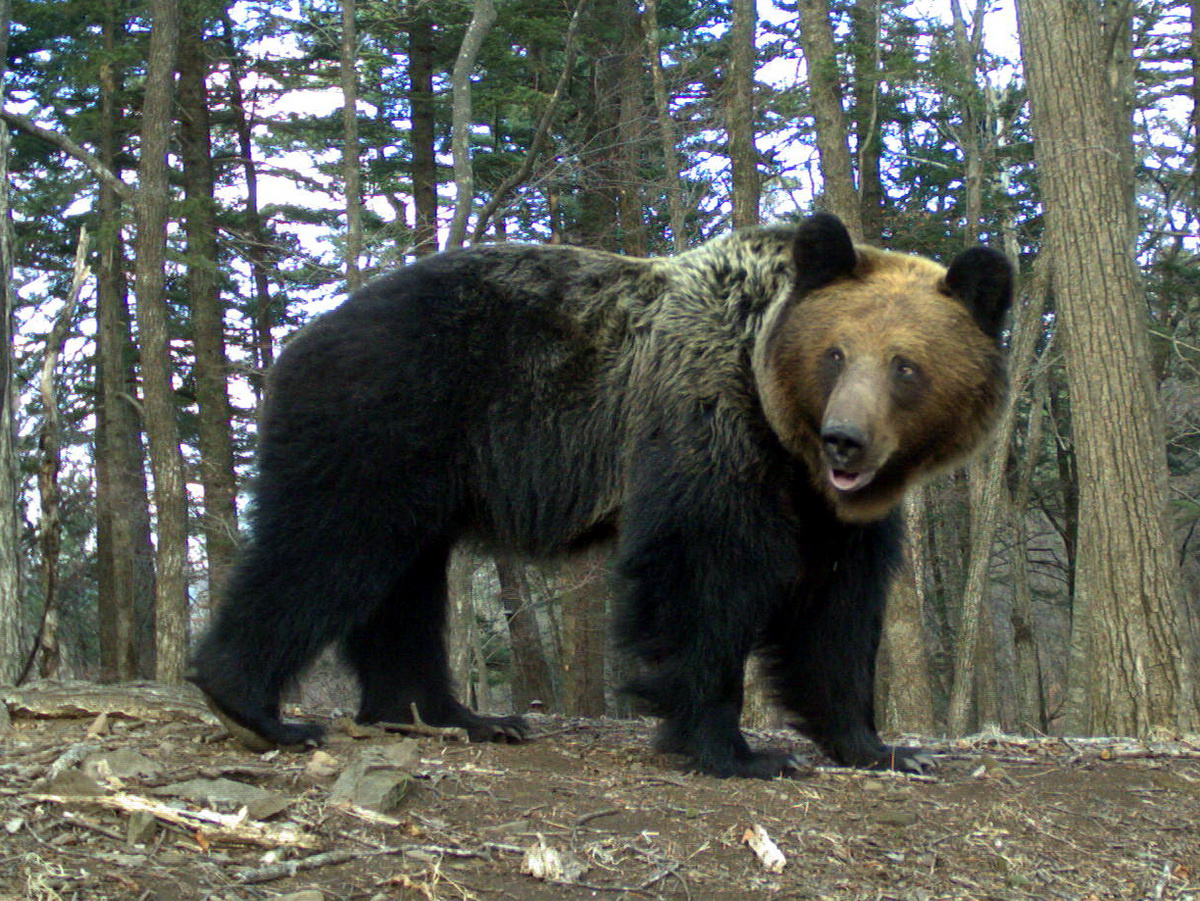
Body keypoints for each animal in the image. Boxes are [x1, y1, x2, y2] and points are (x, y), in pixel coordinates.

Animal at [187, 213, 1012, 782]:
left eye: (906, 366)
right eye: (835, 353)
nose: (846, 440)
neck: (788, 441)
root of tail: (304, 338)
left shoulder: (834, 515)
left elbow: (836, 615)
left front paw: (880, 745)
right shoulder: (706, 424)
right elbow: (701, 576)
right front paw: (734, 748)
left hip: (427, 472)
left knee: (402, 589)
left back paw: (454, 714)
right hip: (392, 416)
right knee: (327, 544)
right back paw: (254, 704)